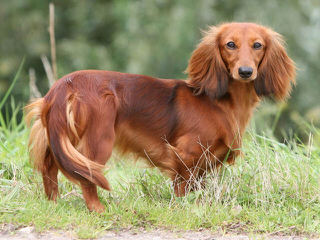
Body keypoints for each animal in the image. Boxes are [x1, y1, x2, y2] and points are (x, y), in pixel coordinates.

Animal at [26, 23, 296, 212]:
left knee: (49, 169)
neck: (221, 102)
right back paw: (98, 208)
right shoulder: (186, 155)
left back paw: (53, 204)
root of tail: (64, 85)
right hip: (98, 140)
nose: (246, 72)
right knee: (88, 176)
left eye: (257, 45)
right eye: (230, 44)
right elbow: (182, 189)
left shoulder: (202, 165)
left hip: (59, 139)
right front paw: (183, 208)